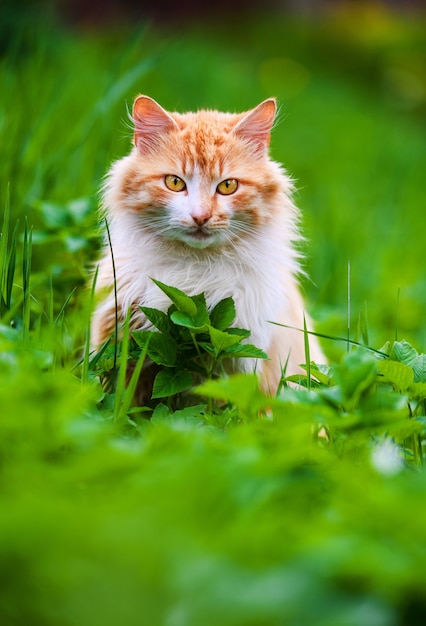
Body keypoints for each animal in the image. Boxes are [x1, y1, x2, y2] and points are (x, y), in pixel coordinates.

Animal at [90, 93, 322, 394]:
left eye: (227, 186)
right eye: (175, 182)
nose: (201, 216)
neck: (194, 271)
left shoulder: (239, 359)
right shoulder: (117, 337)